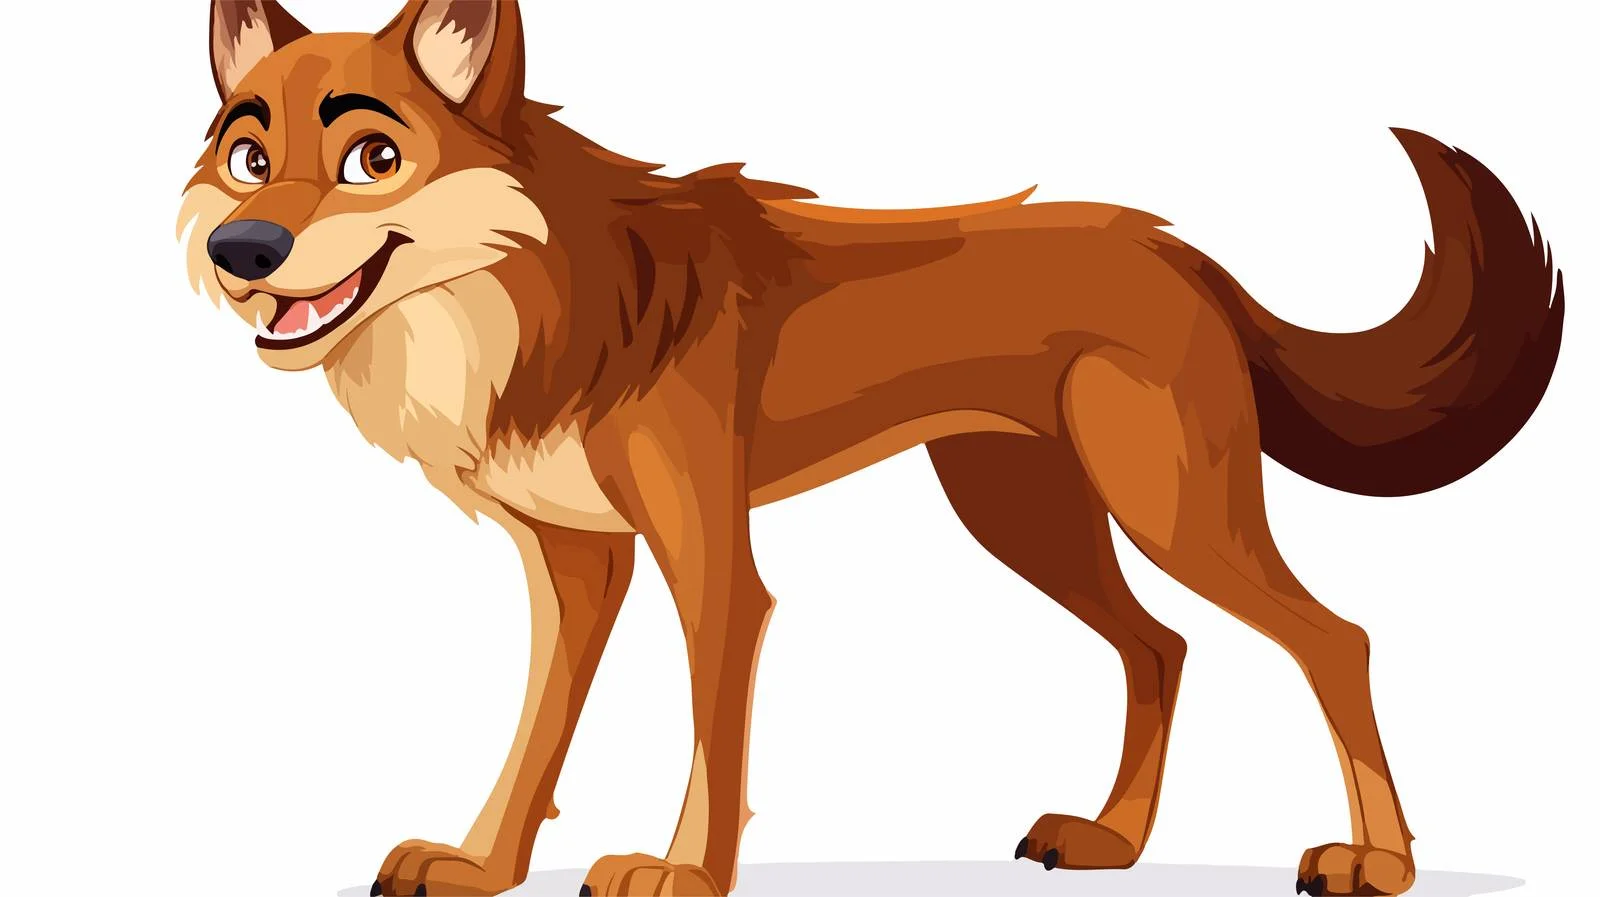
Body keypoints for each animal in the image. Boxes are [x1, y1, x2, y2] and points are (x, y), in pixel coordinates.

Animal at [178, 2, 1565, 895]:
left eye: (373, 156)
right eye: (246, 154)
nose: (240, 250)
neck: (547, 302)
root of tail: (1183, 254)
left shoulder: (711, 566)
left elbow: (710, 734)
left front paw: (678, 872)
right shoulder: (579, 566)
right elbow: (535, 733)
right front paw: (484, 864)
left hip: (1167, 513)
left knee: (1332, 637)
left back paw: (1377, 862)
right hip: (1028, 521)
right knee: (1159, 645)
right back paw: (1110, 842)